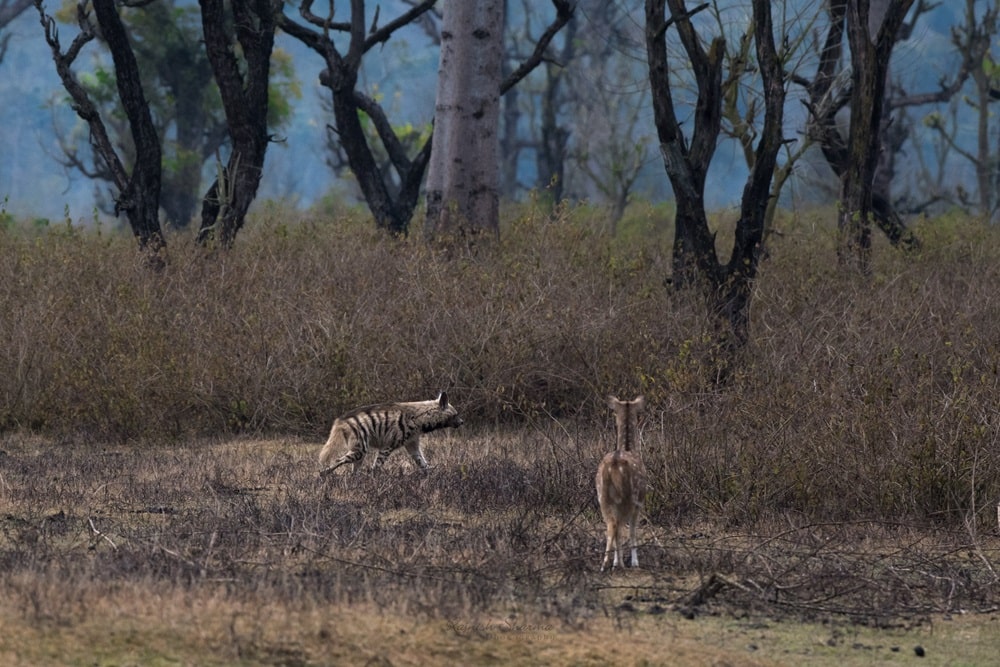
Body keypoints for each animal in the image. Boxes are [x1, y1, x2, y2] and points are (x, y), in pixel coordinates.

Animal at [592, 394, 648, 572]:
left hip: (602, 496)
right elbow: (633, 531)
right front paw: (635, 562)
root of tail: (614, 465)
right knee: (618, 526)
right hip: (627, 496)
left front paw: (615, 561)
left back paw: (605, 564)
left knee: (610, 526)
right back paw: (619, 564)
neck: (630, 448)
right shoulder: (639, 502)